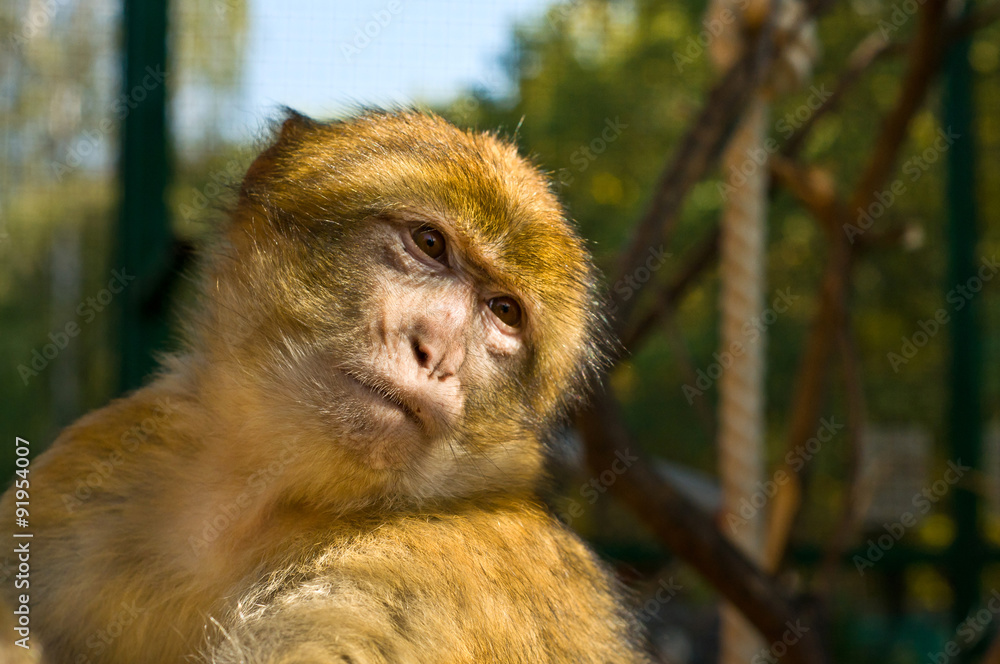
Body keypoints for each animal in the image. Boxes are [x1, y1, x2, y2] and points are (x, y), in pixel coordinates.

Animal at [0, 110, 651, 664]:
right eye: (429, 244)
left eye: (505, 312)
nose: (435, 352)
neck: (257, 503)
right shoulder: (105, 459)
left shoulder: (424, 573)